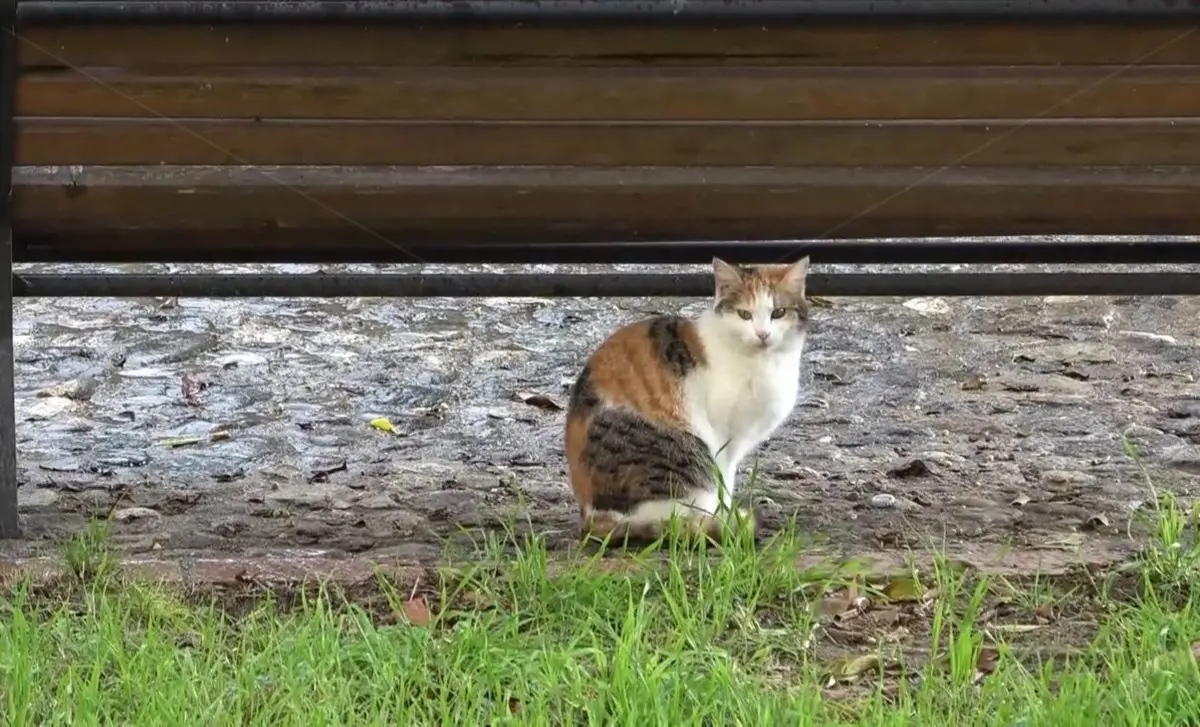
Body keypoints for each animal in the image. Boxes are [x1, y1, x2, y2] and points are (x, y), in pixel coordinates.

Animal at [564, 259, 811, 544]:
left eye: (778, 313)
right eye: (744, 314)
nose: (762, 334)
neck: (763, 363)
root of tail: (594, 520)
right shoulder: (723, 438)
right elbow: (723, 480)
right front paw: (726, 518)